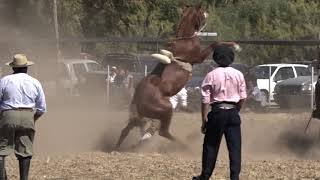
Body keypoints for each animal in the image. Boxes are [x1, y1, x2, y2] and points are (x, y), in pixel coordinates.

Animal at [115, 3, 238, 149]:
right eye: (201, 12)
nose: (207, 14)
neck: (185, 40)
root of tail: (137, 99)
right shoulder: (199, 57)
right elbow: (215, 43)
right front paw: (235, 45)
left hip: (140, 116)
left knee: (125, 130)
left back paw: (117, 148)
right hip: (166, 109)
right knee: (163, 131)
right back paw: (183, 146)